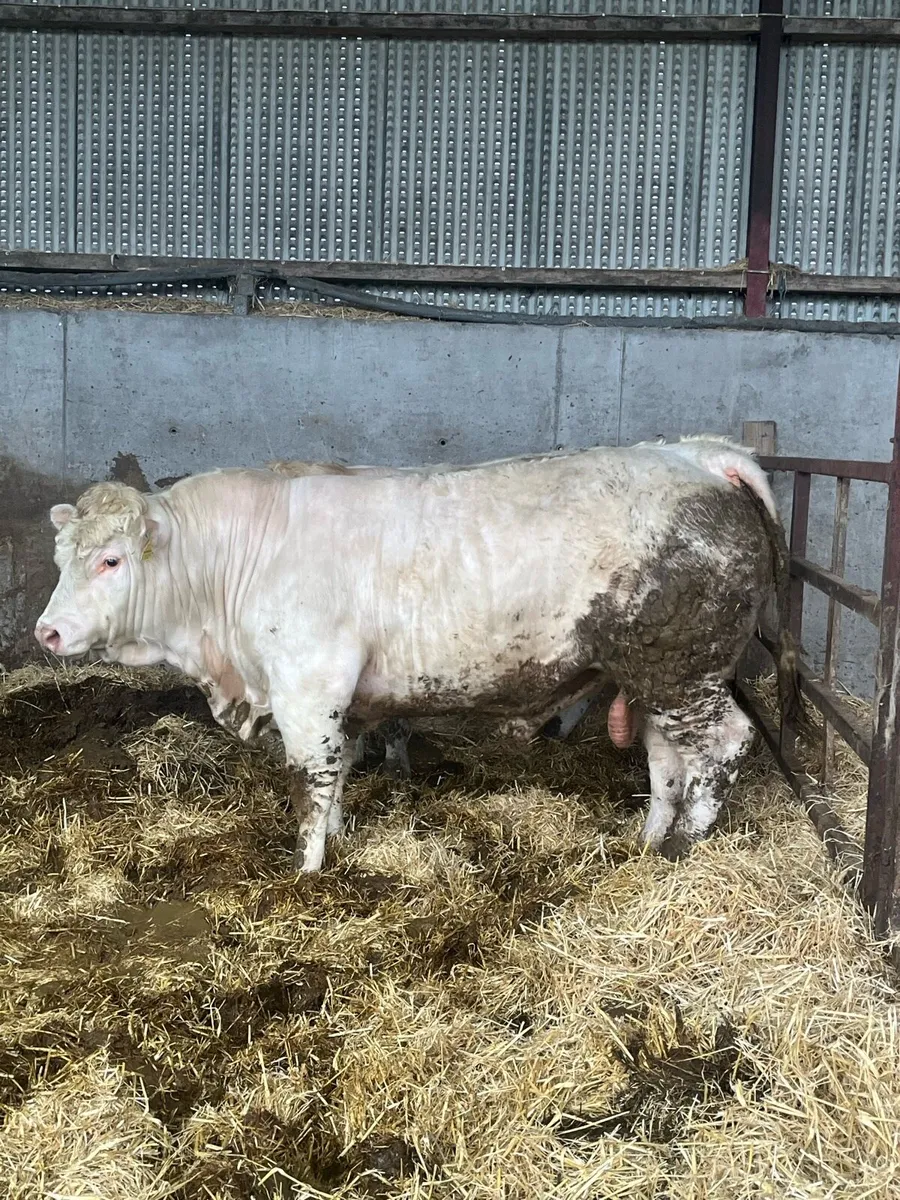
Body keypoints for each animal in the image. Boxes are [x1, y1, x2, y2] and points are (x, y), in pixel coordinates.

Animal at [35, 436, 801, 871]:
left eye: (110, 560)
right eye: (61, 557)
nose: (47, 632)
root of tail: (695, 454)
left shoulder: (308, 684)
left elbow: (310, 781)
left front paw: (306, 872)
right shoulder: (341, 699)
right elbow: (340, 770)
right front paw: (337, 838)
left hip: (686, 669)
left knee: (727, 742)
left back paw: (685, 846)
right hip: (657, 672)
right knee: (667, 758)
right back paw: (649, 842)